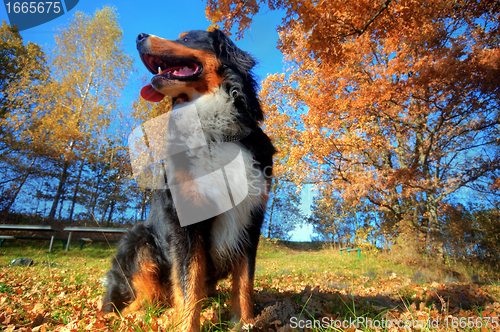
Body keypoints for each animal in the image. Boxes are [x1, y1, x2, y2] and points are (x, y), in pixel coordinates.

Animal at [100, 29, 276, 332]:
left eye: (186, 38)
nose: (139, 36)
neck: (215, 132)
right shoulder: (185, 222)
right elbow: (188, 282)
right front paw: (186, 325)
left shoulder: (251, 218)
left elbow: (244, 283)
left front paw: (245, 323)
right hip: (140, 241)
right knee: (139, 301)